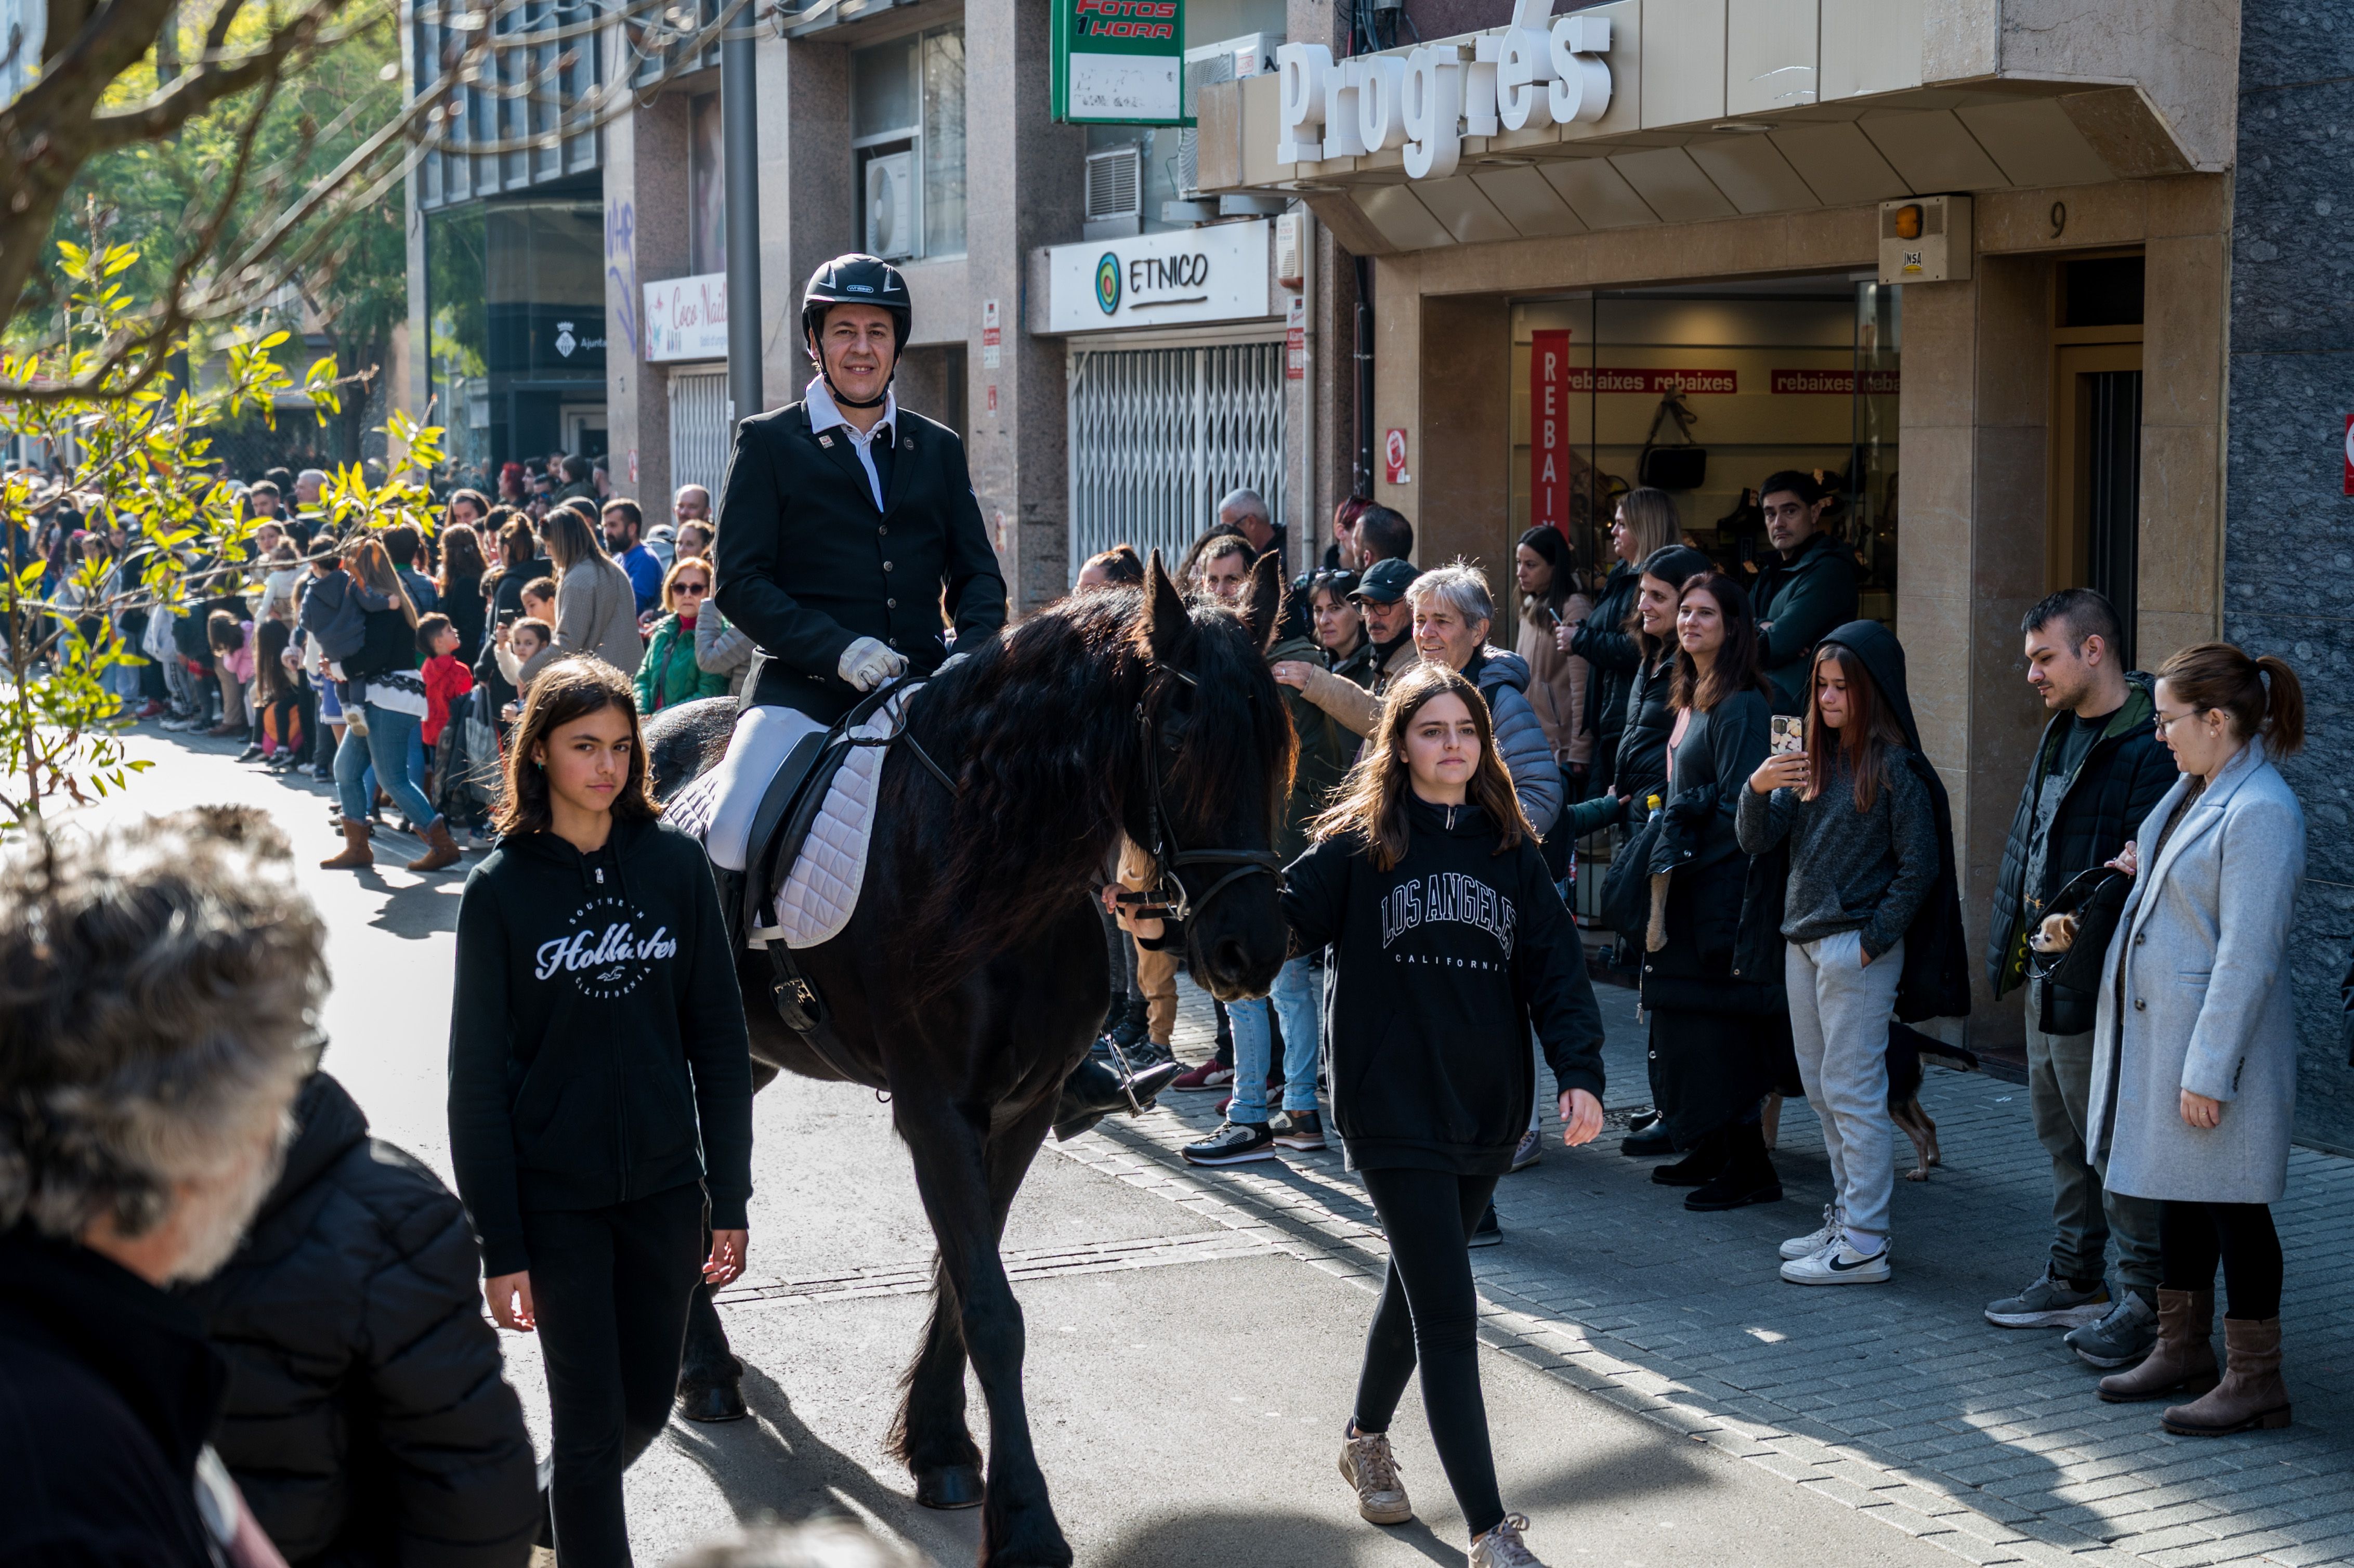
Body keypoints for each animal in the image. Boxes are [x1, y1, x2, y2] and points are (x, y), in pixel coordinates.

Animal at [645, 553, 1290, 1563]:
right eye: (1182, 737)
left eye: (1274, 740)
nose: (1249, 952)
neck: (987, 865)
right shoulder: (937, 1108)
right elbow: (991, 1304)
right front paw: (1025, 1522)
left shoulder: (1019, 1109)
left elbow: (965, 1278)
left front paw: (942, 1444)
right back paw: (704, 1370)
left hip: (747, 1058)